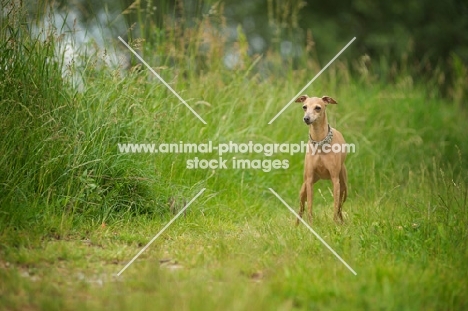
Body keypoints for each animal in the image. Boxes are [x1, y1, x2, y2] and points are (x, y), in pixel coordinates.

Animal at [296, 95, 348, 224]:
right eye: (304, 107)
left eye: (318, 108)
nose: (306, 118)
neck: (320, 142)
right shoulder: (309, 181)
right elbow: (310, 205)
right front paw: (311, 224)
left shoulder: (335, 180)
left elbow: (335, 205)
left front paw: (334, 224)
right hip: (303, 189)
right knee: (301, 209)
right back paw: (297, 225)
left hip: (344, 188)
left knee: (339, 208)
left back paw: (341, 223)